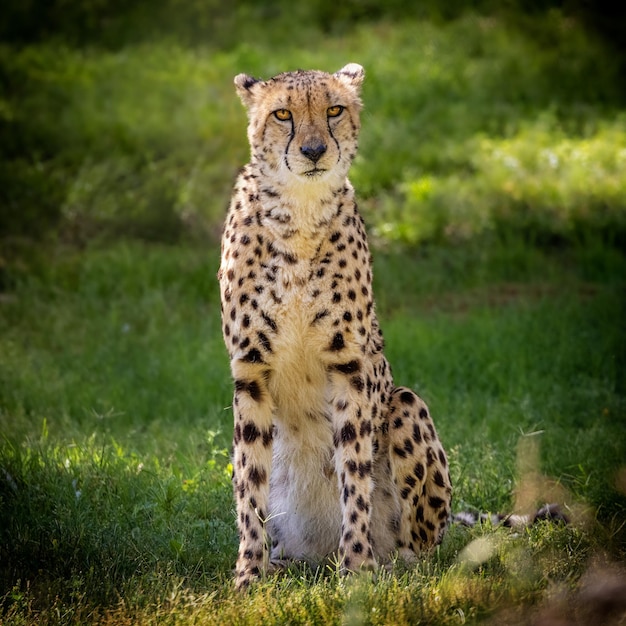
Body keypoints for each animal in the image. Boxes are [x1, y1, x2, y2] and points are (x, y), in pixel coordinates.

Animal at [217, 63, 450, 584]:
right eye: (283, 114)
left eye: (334, 110)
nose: (313, 150)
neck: (299, 213)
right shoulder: (250, 370)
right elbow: (249, 485)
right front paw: (248, 576)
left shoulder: (350, 365)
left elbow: (354, 474)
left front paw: (357, 569)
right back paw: (281, 563)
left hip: (406, 404)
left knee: (424, 548)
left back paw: (392, 565)